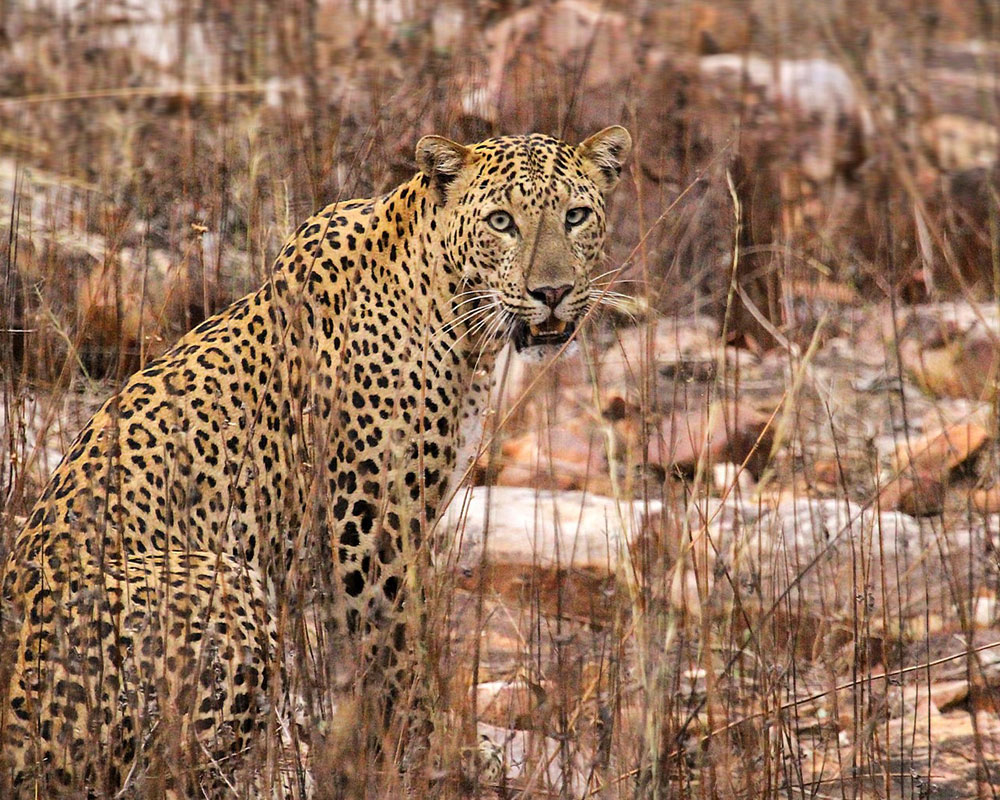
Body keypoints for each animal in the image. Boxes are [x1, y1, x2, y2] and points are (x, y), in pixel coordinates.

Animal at [0, 123, 632, 792]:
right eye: (502, 221)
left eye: (575, 215)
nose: (553, 293)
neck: (459, 322)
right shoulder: (371, 531)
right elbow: (401, 655)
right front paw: (432, 757)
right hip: (225, 581)